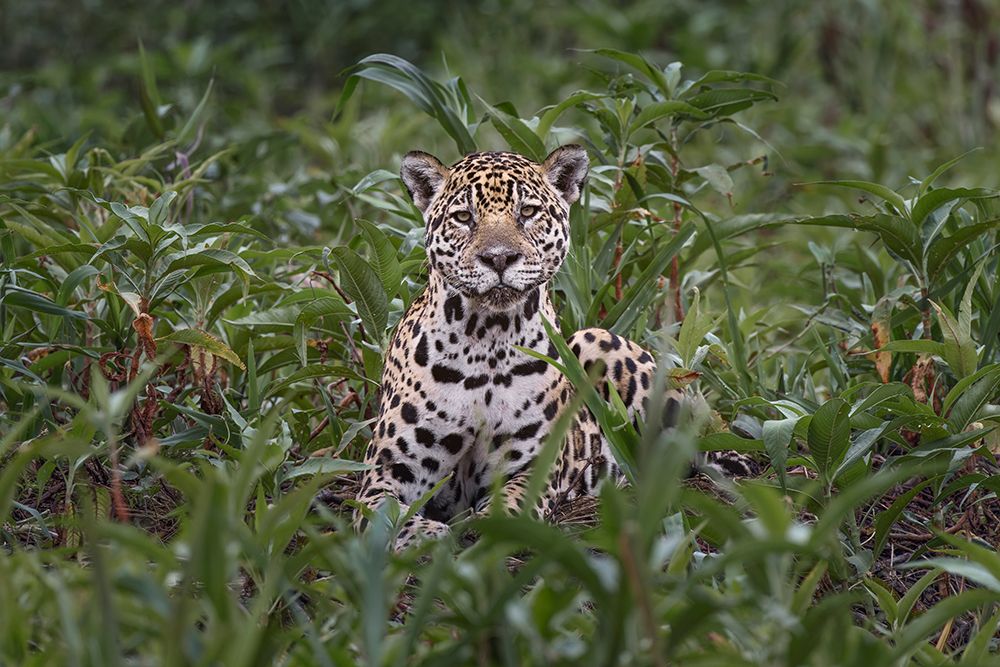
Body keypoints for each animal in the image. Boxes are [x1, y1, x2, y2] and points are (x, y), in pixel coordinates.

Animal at [354, 145, 740, 550]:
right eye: (463, 217)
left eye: (527, 212)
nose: (499, 257)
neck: (486, 340)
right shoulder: (388, 470)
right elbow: (383, 514)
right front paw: (425, 536)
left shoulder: (530, 468)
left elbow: (509, 506)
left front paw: (486, 532)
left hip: (599, 341)